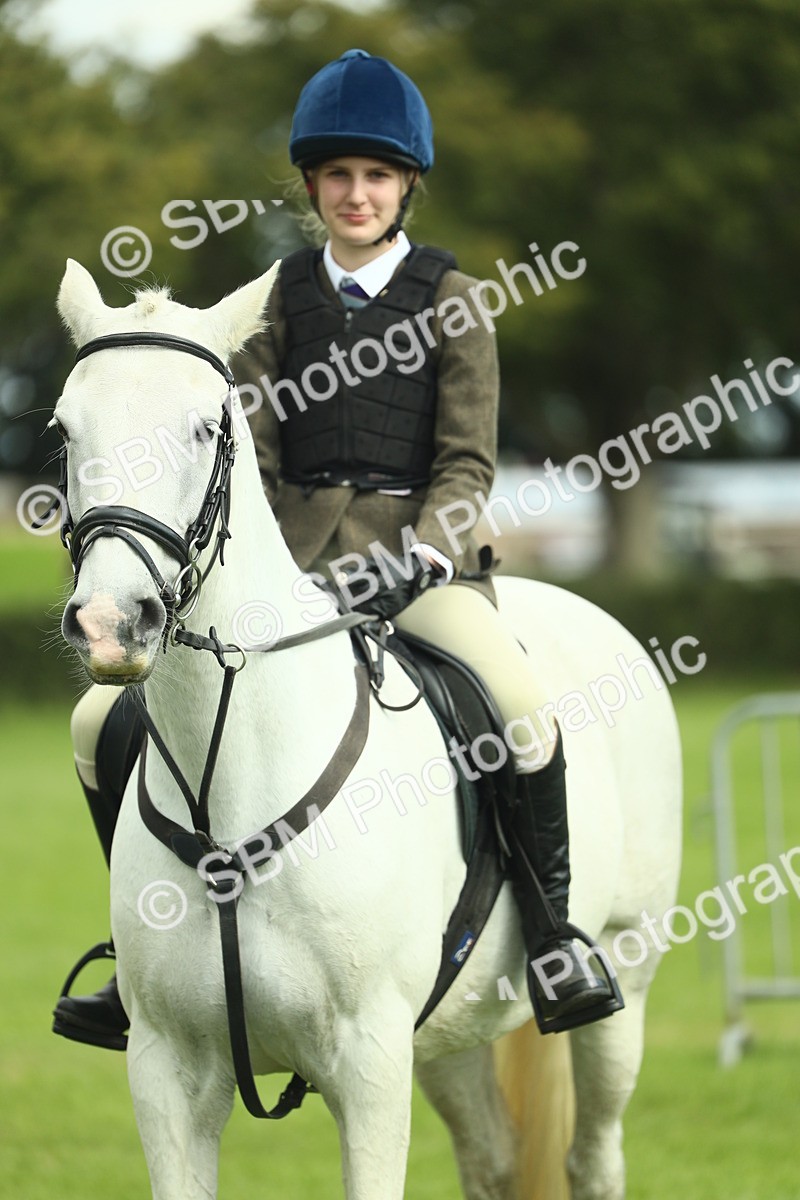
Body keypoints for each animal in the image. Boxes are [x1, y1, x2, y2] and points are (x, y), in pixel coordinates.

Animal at [53, 257, 682, 1200]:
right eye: (65, 428)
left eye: (205, 429)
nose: (110, 624)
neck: (228, 791)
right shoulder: (165, 1073)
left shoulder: (370, 1065)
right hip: (452, 1034)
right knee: (493, 1158)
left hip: (622, 981)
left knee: (594, 1156)